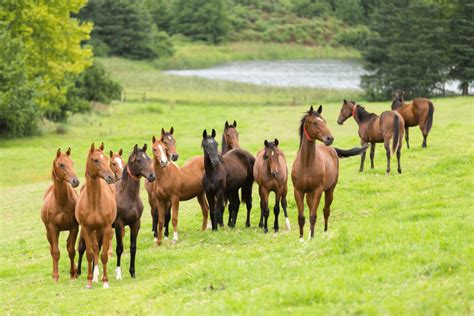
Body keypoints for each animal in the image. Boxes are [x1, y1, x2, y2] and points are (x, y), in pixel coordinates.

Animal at [41, 148, 80, 282]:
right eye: (61, 164)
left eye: (72, 163)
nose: (75, 181)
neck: (61, 202)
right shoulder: (53, 229)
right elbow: (56, 252)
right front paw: (56, 277)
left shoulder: (74, 227)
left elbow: (71, 250)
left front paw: (73, 274)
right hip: (49, 232)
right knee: (52, 249)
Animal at [76, 143, 117, 288]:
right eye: (95, 160)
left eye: (106, 158)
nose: (111, 177)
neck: (94, 202)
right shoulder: (86, 229)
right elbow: (89, 254)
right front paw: (89, 281)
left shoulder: (106, 228)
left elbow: (104, 255)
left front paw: (105, 282)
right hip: (93, 231)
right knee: (95, 249)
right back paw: (94, 276)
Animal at [78, 144, 156, 278]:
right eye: (138, 160)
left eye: (149, 159)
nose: (152, 176)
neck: (127, 196)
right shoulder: (119, 225)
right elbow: (119, 248)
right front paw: (118, 274)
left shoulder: (136, 223)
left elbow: (133, 247)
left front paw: (132, 272)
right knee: (83, 247)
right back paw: (79, 273)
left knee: (97, 247)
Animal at [292, 105, 370, 241]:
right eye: (314, 122)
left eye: (324, 121)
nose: (330, 138)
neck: (306, 164)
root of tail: (332, 149)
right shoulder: (298, 191)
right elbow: (301, 217)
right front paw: (302, 239)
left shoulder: (318, 190)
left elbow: (313, 216)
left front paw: (311, 238)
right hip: (309, 194)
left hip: (329, 191)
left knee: (325, 211)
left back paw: (325, 231)